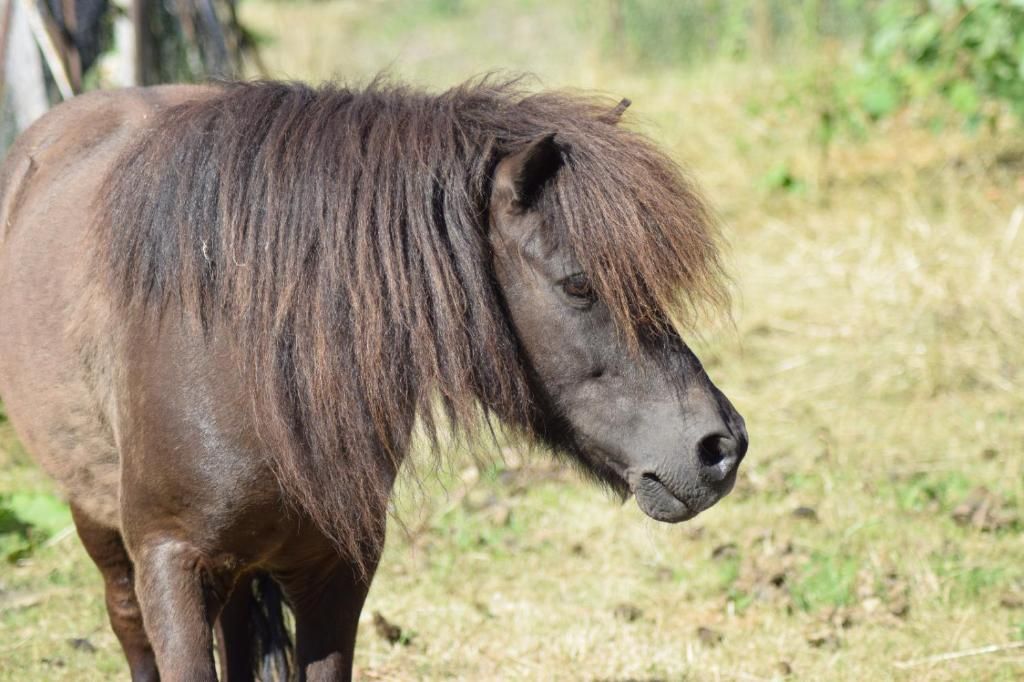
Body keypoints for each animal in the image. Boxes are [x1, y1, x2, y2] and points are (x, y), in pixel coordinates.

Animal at [0, 78, 748, 681]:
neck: (247, 363)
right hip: (101, 526)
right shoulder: (170, 564)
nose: (721, 447)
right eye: (577, 284)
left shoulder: (337, 571)